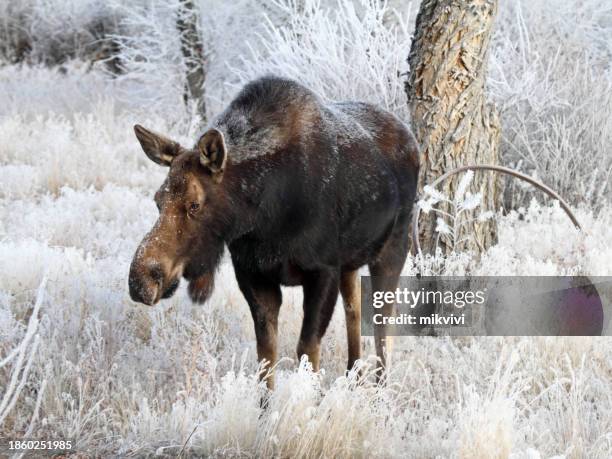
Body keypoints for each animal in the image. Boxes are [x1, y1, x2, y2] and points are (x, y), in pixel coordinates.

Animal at [126, 75, 418, 388]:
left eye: (194, 204)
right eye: (158, 199)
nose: (140, 280)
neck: (264, 215)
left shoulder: (322, 270)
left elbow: (307, 350)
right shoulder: (254, 275)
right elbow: (266, 356)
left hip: (393, 248)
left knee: (382, 322)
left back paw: (379, 388)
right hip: (350, 263)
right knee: (354, 309)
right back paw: (354, 376)